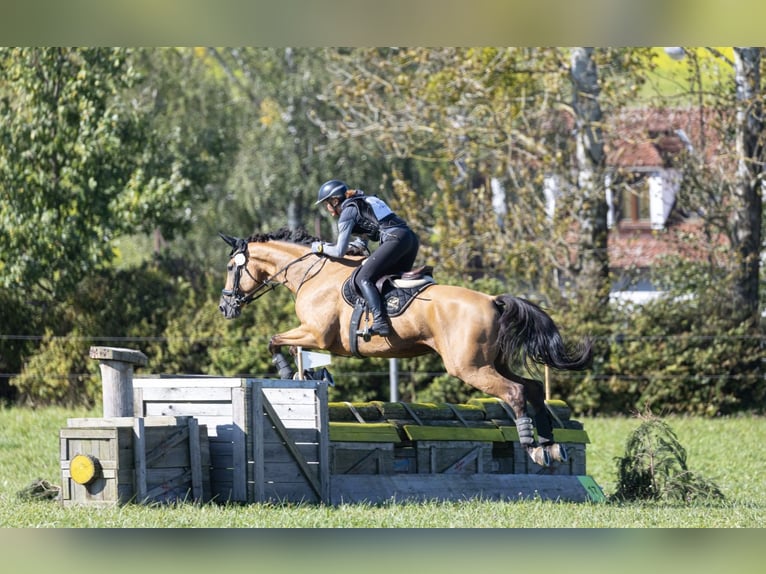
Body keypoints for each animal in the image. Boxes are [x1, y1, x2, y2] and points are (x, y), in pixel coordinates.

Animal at [219, 227, 596, 466]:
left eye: (230, 268)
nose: (225, 307)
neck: (313, 273)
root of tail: (492, 300)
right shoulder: (312, 336)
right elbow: (284, 345)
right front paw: (306, 376)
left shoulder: (316, 334)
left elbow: (274, 340)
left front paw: (287, 373)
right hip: (492, 362)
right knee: (531, 387)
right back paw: (550, 445)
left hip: (469, 367)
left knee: (516, 392)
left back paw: (532, 447)